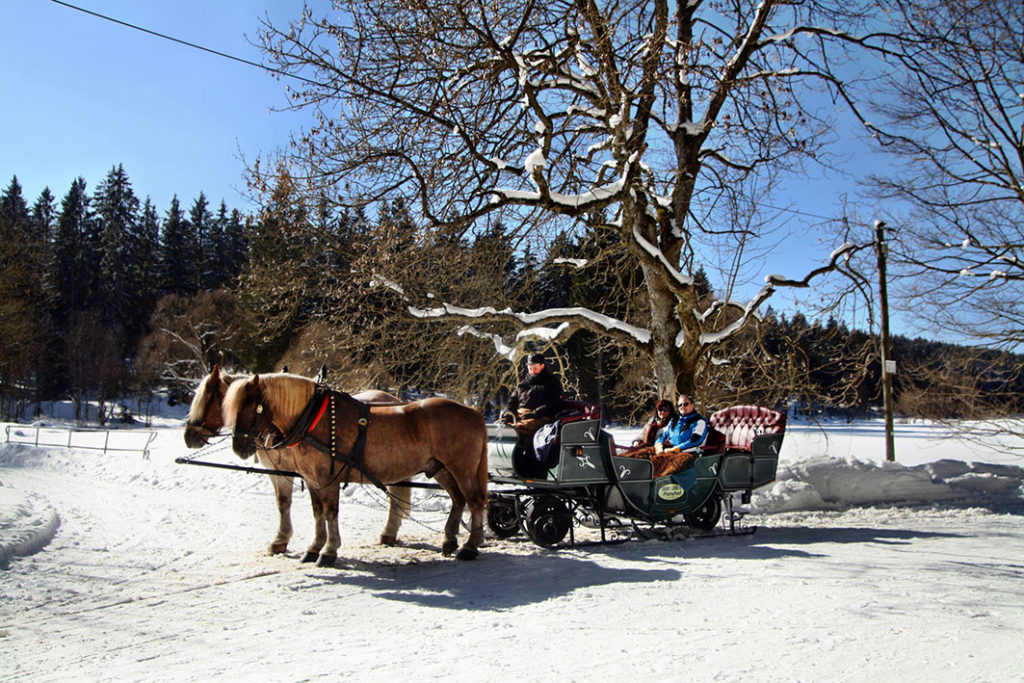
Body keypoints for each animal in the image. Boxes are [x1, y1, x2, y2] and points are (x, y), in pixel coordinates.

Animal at [184, 366, 411, 552]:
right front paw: (283, 540)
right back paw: (389, 532)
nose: (189, 436)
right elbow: (285, 503)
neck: (301, 419)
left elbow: (287, 504)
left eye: (208, 400)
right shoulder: (286, 472)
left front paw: (282, 539)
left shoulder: (285, 471)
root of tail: (394, 399)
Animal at [222, 374, 485, 565]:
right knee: (458, 499)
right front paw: (314, 548)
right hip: (440, 468)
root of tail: (472, 411)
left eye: (255, 408)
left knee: (474, 501)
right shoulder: (312, 480)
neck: (313, 418)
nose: (240, 447)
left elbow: (330, 513)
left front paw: (328, 551)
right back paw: (449, 540)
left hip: (462, 468)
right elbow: (317, 513)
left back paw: (470, 546)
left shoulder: (327, 478)